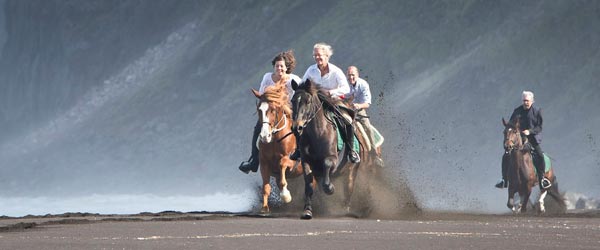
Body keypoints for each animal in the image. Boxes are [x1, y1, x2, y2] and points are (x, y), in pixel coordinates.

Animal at [251, 83, 302, 213]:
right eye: (259, 109)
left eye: (273, 110)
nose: (265, 136)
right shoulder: (264, 164)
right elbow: (266, 187)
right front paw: (264, 208)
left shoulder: (292, 162)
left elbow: (282, 164)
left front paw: (285, 196)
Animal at [290, 78, 376, 219]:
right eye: (292, 101)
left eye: (308, 101)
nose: (297, 127)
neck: (317, 133)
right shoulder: (306, 161)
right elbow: (309, 184)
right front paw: (307, 210)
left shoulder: (333, 159)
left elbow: (326, 164)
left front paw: (329, 188)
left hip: (351, 171)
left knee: (348, 191)